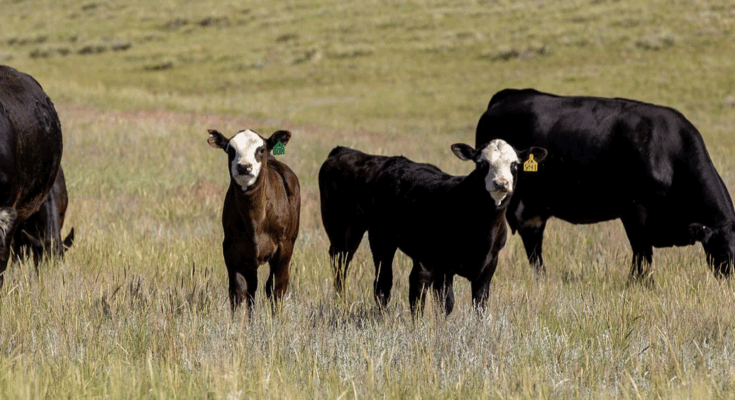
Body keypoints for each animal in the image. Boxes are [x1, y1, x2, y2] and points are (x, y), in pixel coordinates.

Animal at [208, 128, 300, 313]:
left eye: (261, 149)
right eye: (230, 150)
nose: (244, 166)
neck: (256, 219)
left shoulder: (284, 247)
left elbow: (277, 288)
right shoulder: (231, 249)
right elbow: (238, 290)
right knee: (252, 289)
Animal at [319, 141, 547, 314]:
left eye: (514, 164)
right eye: (482, 163)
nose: (501, 183)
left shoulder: (488, 265)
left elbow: (478, 303)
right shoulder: (432, 264)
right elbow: (432, 301)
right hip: (358, 233)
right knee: (367, 277)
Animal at [476, 88, 735, 282]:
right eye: (727, 250)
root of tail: (508, 96)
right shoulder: (635, 211)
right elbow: (642, 252)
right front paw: (640, 284)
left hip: (534, 207)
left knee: (533, 243)